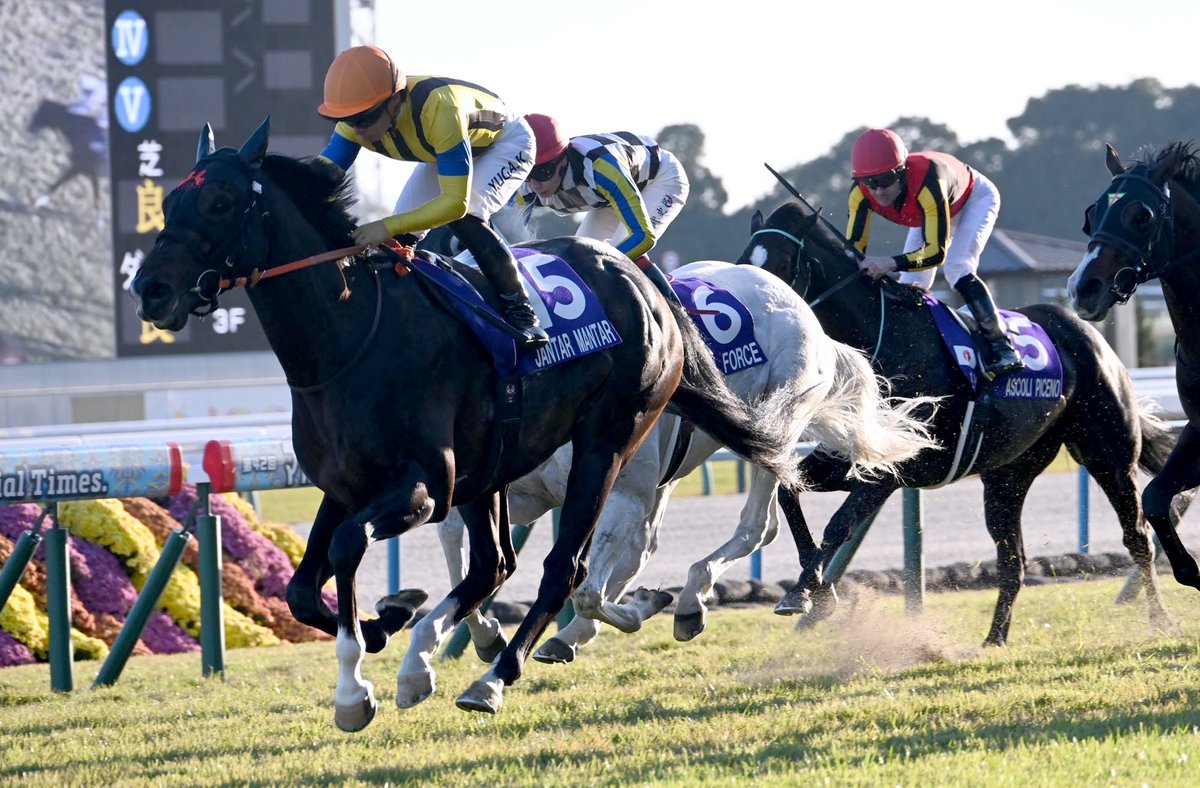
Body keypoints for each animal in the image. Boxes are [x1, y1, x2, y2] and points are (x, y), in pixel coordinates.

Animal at [130, 117, 807, 730]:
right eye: (169, 201)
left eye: (220, 202)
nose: (149, 290)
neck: (350, 339)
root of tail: (643, 281)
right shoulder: (346, 484)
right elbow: (301, 590)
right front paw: (386, 626)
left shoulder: (426, 484)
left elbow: (349, 546)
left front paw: (356, 688)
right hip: (493, 470)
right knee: (496, 563)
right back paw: (425, 662)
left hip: (607, 443)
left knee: (564, 568)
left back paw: (492, 678)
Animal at [436, 259, 938, 666]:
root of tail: (802, 309)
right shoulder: (525, 495)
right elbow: (465, 556)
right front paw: (486, 636)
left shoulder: (621, 490)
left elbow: (585, 586)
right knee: (648, 546)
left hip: (772, 424)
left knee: (757, 527)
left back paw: (694, 600)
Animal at [736, 197, 1191, 646]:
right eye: (743, 261)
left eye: (780, 262)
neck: (884, 338)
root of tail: (1090, 335)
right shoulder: (847, 458)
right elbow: (789, 495)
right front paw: (814, 591)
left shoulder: (896, 468)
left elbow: (839, 523)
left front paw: (805, 592)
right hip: (1009, 475)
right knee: (1013, 559)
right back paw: (995, 639)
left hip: (1107, 455)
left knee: (1136, 537)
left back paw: (1160, 619)